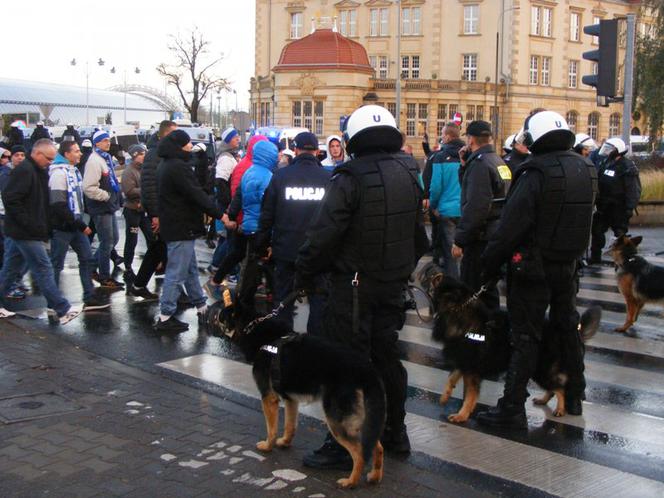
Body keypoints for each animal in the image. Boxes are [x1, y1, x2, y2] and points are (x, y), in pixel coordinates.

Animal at [240, 320, 386, 488]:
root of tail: (367, 371)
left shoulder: (268, 397)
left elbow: (272, 429)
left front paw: (267, 446)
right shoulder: (291, 400)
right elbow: (290, 425)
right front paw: (284, 442)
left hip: (337, 421)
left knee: (360, 453)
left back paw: (351, 482)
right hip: (360, 420)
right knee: (377, 446)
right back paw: (375, 476)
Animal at [430, 276, 600, 420]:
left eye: (441, 283)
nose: (434, 274)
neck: (460, 314)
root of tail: (558, 333)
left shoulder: (472, 369)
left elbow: (470, 395)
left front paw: (462, 415)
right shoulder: (465, 362)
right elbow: (451, 377)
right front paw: (445, 397)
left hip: (541, 371)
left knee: (560, 388)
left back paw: (560, 408)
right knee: (554, 387)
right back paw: (544, 400)